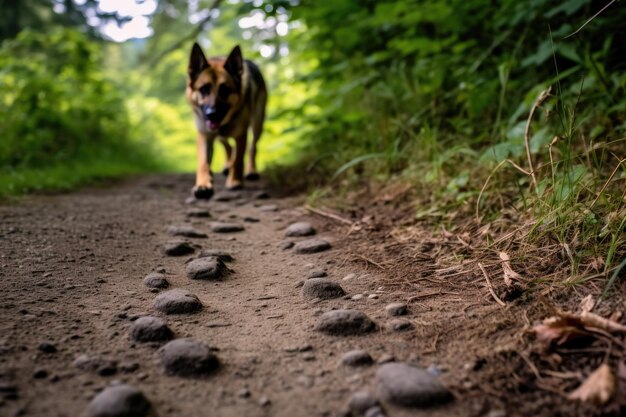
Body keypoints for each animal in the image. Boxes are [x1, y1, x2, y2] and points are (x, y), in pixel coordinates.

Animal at [184, 43, 264, 199]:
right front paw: (203, 184)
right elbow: (203, 163)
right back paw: (227, 165)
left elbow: (238, 159)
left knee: (252, 148)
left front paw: (235, 181)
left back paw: (251, 170)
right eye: (203, 89)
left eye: (225, 90)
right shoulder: (204, 135)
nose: (212, 114)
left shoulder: (241, 134)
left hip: (258, 123)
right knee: (227, 146)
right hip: (220, 135)